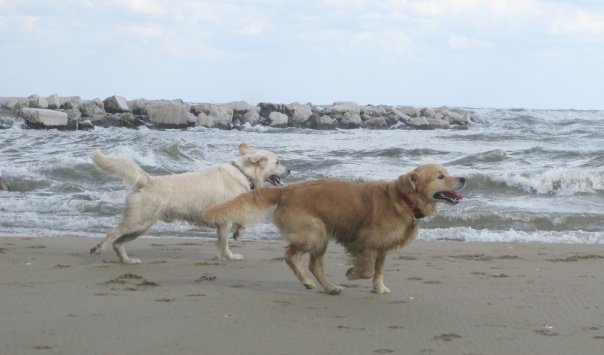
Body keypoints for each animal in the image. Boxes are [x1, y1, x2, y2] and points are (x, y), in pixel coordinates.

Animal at [88, 143, 292, 264]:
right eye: (278, 162)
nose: (290, 170)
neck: (244, 172)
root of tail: (148, 180)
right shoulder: (224, 219)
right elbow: (224, 242)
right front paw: (229, 256)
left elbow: (238, 226)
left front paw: (237, 235)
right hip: (138, 221)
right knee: (112, 234)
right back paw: (97, 248)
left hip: (142, 225)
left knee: (118, 242)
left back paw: (127, 260)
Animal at [205, 165, 464, 296]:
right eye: (440, 176)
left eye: (447, 172)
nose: (462, 178)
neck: (404, 200)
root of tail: (287, 190)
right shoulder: (364, 242)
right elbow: (367, 269)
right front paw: (352, 273)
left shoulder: (382, 248)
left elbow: (378, 271)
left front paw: (379, 288)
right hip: (315, 232)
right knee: (290, 256)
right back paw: (307, 282)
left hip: (321, 236)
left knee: (314, 265)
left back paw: (329, 287)